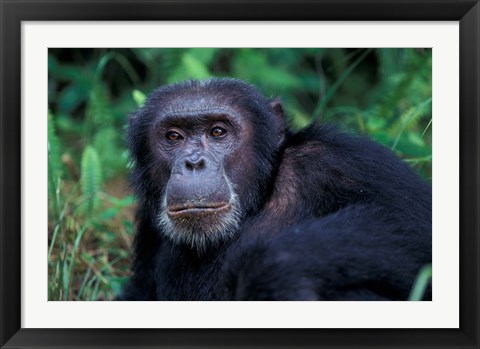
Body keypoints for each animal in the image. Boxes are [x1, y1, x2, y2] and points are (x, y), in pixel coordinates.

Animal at [118, 77, 434, 300]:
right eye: (173, 136)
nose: (194, 162)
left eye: (218, 132)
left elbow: (414, 223)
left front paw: (266, 268)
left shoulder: (342, 160)